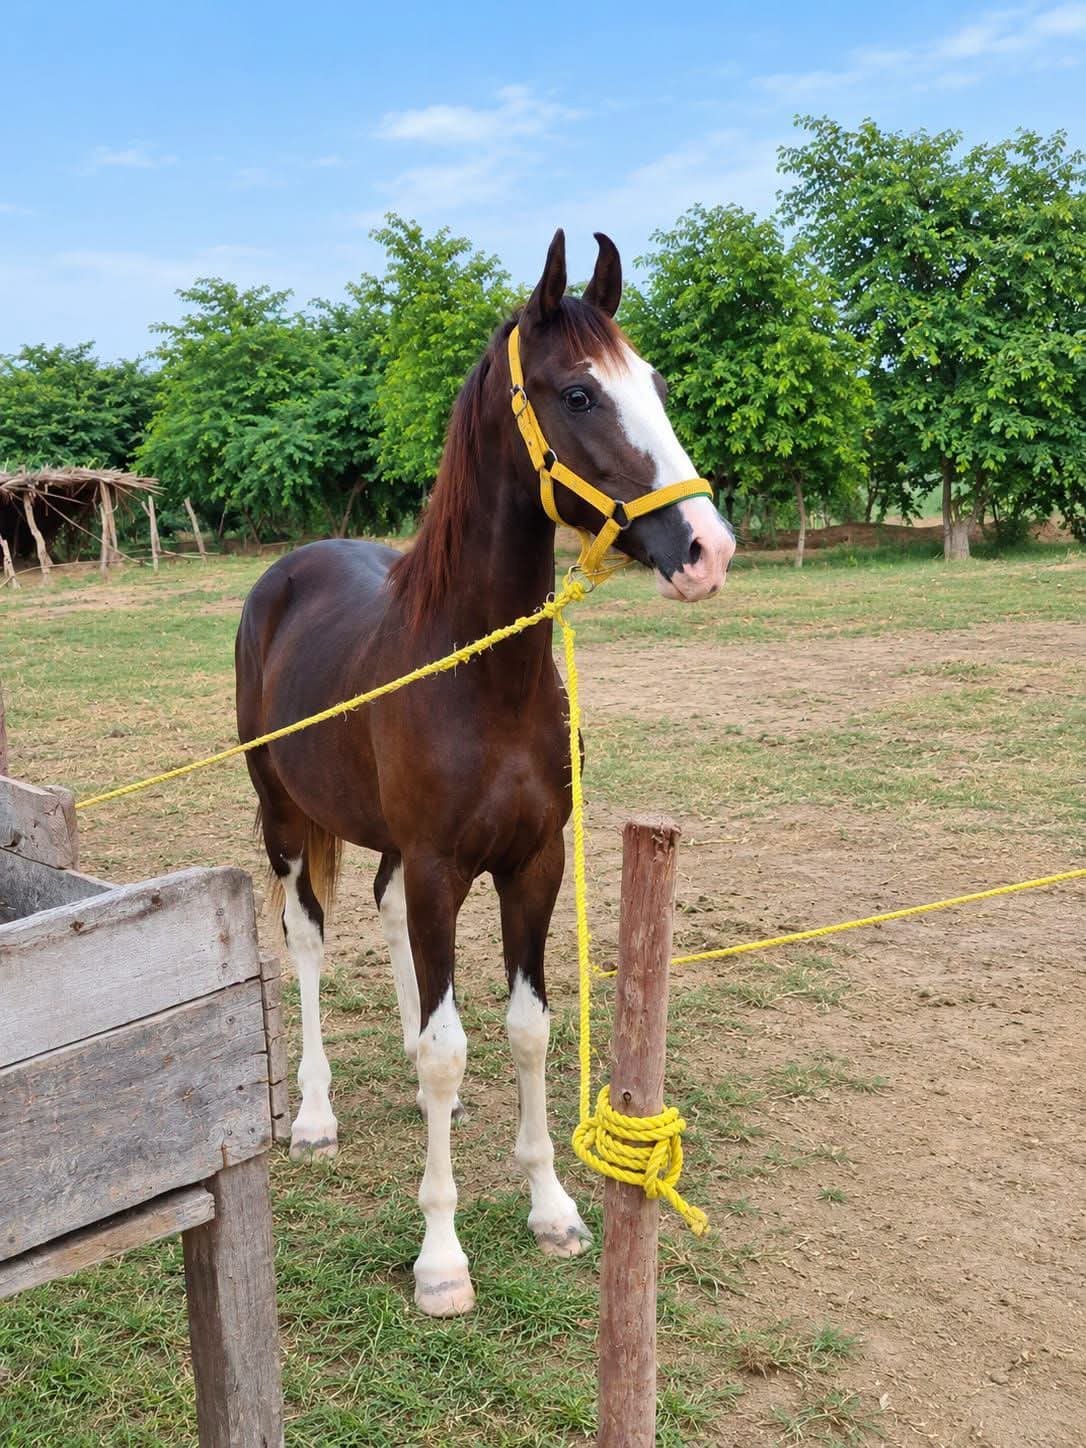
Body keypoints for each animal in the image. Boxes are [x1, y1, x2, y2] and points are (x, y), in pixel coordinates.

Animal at [235, 229, 736, 1316]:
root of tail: (286, 571)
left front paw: (552, 1207)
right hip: (283, 817)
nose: (706, 548)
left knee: (386, 925)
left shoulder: (533, 864)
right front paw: (441, 1257)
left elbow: (521, 1030)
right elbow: (446, 1044)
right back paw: (314, 1112)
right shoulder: (437, 867)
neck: (480, 674)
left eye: (655, 383)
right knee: (308, 942)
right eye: (579, 393)